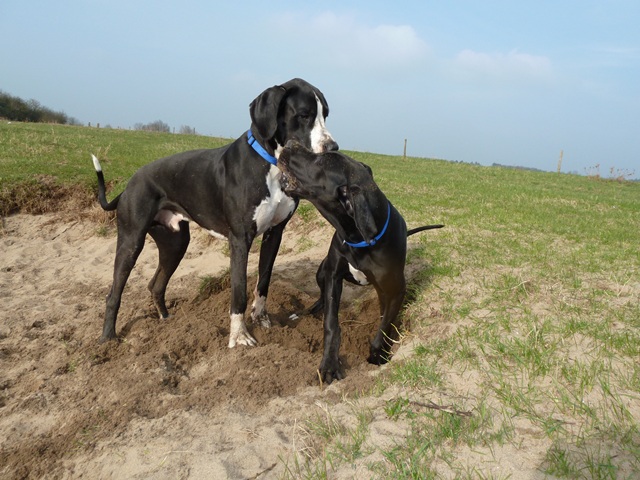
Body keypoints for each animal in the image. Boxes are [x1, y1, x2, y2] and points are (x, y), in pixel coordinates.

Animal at [92, 78, 338, 347]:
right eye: (304, 115)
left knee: (156, 285)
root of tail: (130, 183)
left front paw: (261, 319)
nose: (333, 147)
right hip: (131, 240)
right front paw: (239, 337)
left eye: (325, 114)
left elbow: (263, 280)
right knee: (114, 293)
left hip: (175, 243)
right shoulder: (240, 239)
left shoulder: (275, 233)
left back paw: (167, 324)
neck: (270, 164)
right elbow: (239, 290)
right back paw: (108, 339)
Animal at [278, 143, 443, 383]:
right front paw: (329, 364)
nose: (290, 144)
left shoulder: (395, 290)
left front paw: (378, 356)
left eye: (321, 161)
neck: (359, 237)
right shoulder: (333, 275)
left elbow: (383, 328)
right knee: (321, 298)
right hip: (321, 271)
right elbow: (331, 324)